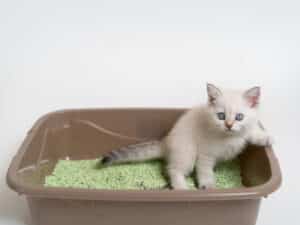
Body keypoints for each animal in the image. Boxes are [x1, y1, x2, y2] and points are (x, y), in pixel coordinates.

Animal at [101, 84, 272, 190]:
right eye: (221, 116)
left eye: (239, 117)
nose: (229, 125)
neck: (228, 137)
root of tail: (166, 140)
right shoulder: (205, 154)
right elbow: (204, 170)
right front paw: (207, 185)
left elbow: (251, 130)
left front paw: (266, 138)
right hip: (187, 153)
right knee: (173, 169)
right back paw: (181, 187)